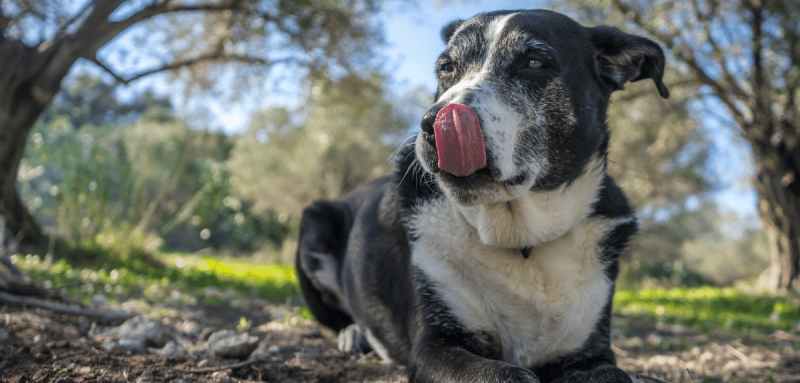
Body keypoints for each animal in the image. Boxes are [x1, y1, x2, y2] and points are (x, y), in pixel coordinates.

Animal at [294, 9, 668, 383]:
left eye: (534, 62)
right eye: (446, 67)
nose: (432, 126)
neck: (520, 241)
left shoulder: (590, 350)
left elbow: (614, 374)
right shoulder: (434, 345)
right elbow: (509, 375)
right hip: (314, 226)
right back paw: (353, 334)